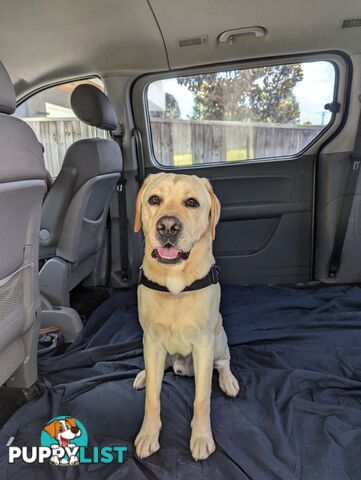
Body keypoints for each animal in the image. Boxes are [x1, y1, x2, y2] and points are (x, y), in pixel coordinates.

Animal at [132, 173, 239, 462]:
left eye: (191, 203)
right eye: (154, 200)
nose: (168, 226)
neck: (175, 284)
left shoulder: (203, 343)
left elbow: (202, 398)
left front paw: (201, 439)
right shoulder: (152, 340)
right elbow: (152, 397)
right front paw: (148, 434)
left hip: (219, 338)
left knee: (224, 361)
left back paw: (228, 381)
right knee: (156, 371)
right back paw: (144, 375)